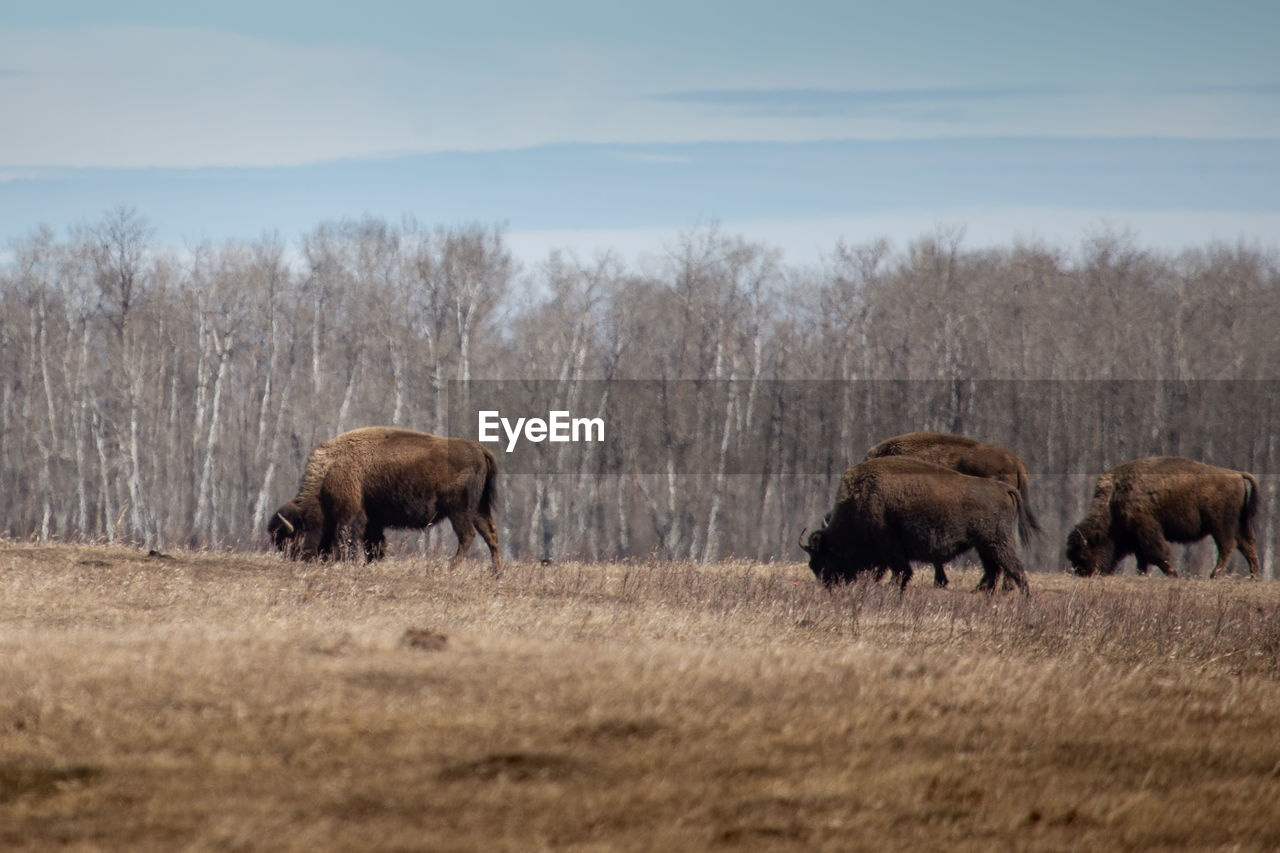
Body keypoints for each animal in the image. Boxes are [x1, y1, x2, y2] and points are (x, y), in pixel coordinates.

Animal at [266, 425, 499, 571]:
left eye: (293, 538)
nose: (295, 560)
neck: (331, 470)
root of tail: (479, 449)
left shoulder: (351, 515)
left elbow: (349, 540)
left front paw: (348, 563)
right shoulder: (372, 521)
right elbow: (374, 546)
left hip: (459, 509)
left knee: (468, 535)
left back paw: (451, 569)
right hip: (478, 509)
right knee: (490, 533)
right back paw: (496, 573)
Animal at [798, 458, 1029, 591]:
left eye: (821, 562)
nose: (828, 585)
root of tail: (1004, 489)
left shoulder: (890, 546)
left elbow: (901, 571)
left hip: (996, 543)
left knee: (1014, 568)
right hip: (984, 546)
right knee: (994, 570)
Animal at [1059, 450, 1259, 578]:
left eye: (1084, 555)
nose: (1083, 573)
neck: (1114, 499)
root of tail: (1237, 475)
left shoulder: (1146, 529)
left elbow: (1157, 554)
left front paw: (1173, 574)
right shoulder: (1136, 538)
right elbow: (1143, 559)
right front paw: (1142, 575)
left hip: (1220, 525)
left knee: (1227, 546)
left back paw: (1214, 575)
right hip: (1238, 524)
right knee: (1247, 545)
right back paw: (1254, 576)